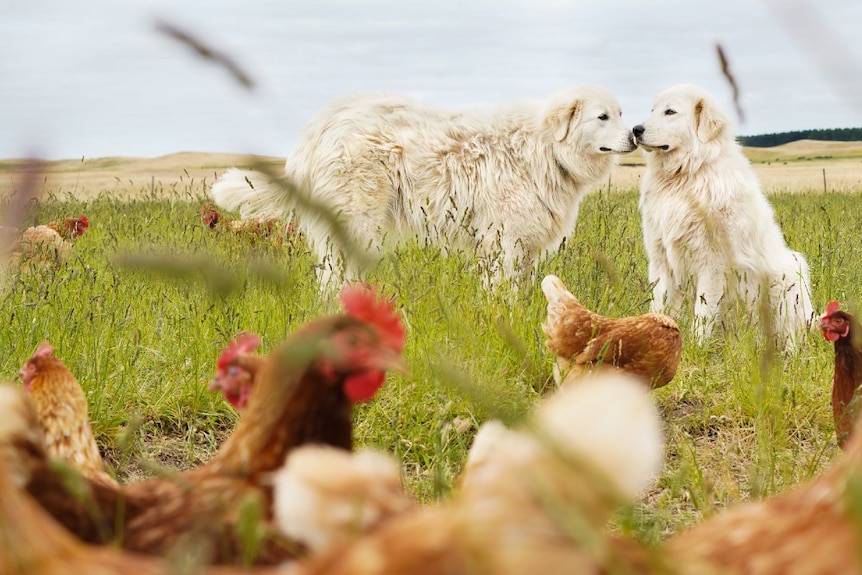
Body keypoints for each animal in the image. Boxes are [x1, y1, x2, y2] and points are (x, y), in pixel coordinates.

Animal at [213, 85, 636, 288]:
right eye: (602, 117)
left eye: (620, 113)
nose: (634, 134)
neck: (546, 148)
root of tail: (318, 128)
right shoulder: (503, 240)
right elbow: (501, 290)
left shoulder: (523, 245)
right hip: (358, 222)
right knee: (337, 277)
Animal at [636, 83, 816, 348]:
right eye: (652, 110)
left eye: (670, 112)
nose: (635, 130)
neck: (686, 175)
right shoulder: (661, 259)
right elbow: (659, 304)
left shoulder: (712, 265)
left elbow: (703, 314)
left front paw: (697, 347)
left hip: (788, 275)